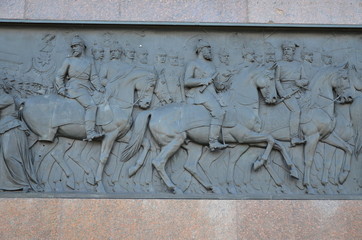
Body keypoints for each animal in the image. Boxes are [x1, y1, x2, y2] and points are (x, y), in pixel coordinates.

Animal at [20, 67, 157, 191]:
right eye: (151, 85)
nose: (146, 104)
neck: (116, 104)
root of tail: (25, 101)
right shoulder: (110, 135)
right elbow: (103, 158)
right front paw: (100, 185)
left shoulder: (122, 135)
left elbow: (146, 143)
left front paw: (133, 170)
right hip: (46, 136)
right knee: (40, 157)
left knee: (51, 155)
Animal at [121, 66, 300, 194]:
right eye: (270, 79)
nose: (274, 98)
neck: (241, 105)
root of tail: (153, 111)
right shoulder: (244, 137)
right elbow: (270, 139)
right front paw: (258, 163)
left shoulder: (249, 140)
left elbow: (277, 144)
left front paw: (293, 171)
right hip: (174, 141)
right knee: (158, 162)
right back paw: (174, 187)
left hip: (193, 146)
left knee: (190, 166)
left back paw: (211, 187)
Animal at [260, 63, 354, 193]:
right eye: (345, 78)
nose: (350, 97)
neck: (316, 105)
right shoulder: (312, 137)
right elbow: (308, 161)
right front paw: (308, 186)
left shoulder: (326, 136)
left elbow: (348, 148)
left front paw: (343, 176)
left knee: (266, 160)